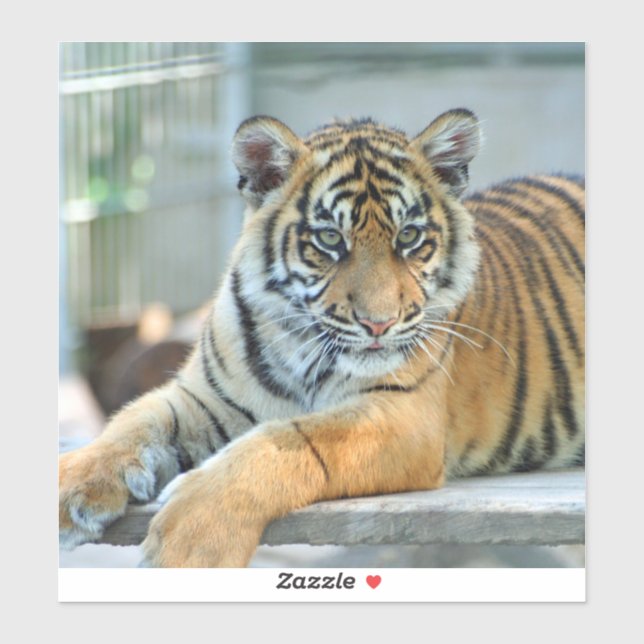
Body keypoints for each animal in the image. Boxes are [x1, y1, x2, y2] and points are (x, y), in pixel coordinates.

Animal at [58, 108, 585, 567]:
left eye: (409, 237)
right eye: (330, 240)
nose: (379, 323)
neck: (301, 346)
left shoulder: (404, 415)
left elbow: (287, 440)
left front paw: (190, 543)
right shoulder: (203, 397)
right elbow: (132, 422)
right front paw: (69, 486)